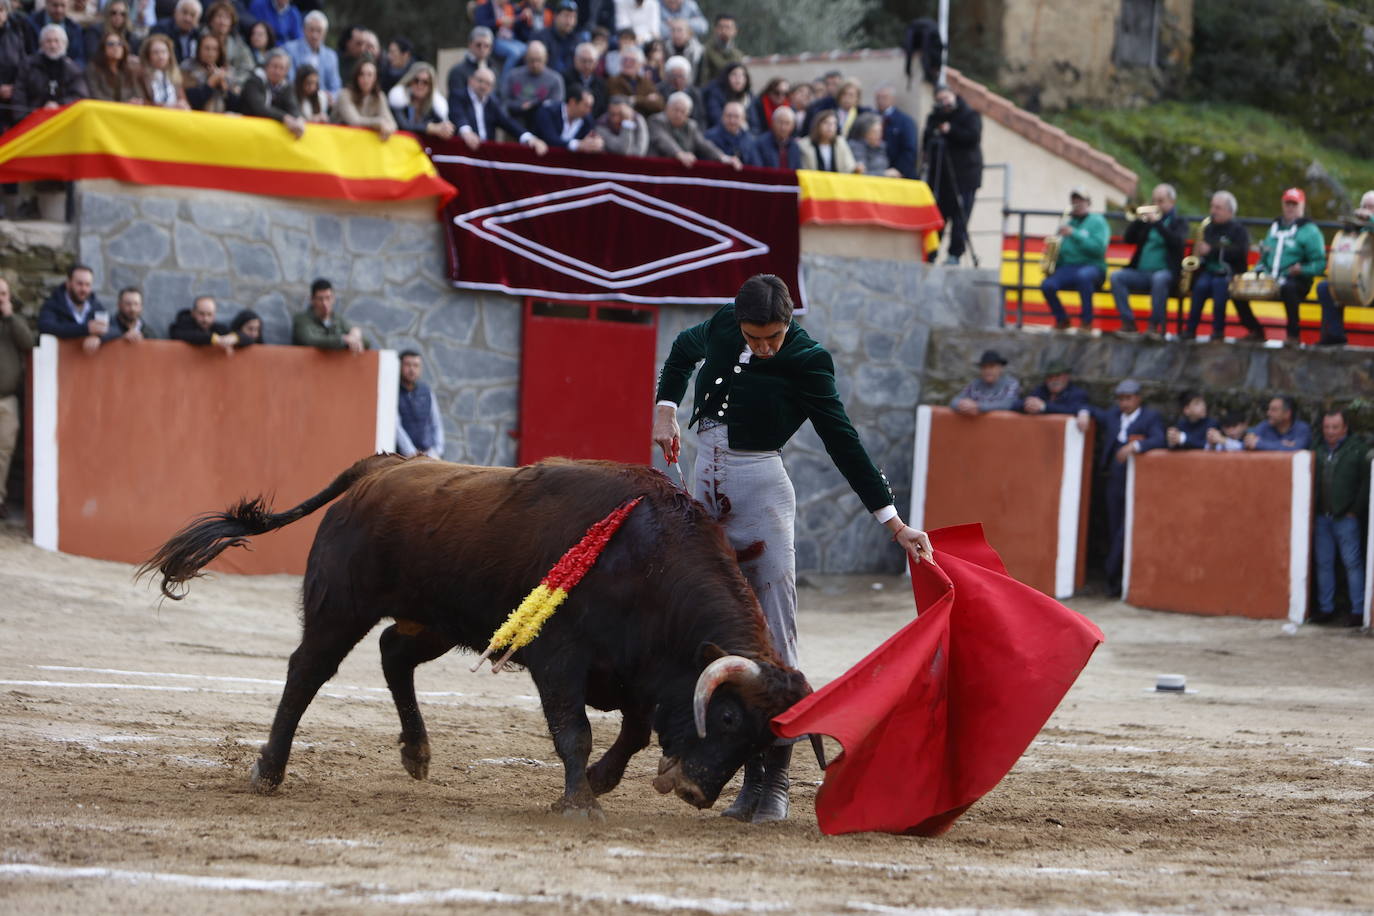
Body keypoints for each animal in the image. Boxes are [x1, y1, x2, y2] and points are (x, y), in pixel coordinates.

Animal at [144, 455, 807, 818]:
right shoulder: (560, 659)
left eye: (760, 740)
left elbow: (636, 732)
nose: (697, 791)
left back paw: (416, 753)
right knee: (307, 670)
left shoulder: (640, 671)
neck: (649, 561)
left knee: (393, 654)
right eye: (727, 718)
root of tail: (384, 467)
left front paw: (598, 783)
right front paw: (580, 803)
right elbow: (575, 731)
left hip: (439, 620)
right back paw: (269, 771)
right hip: (341, 607)